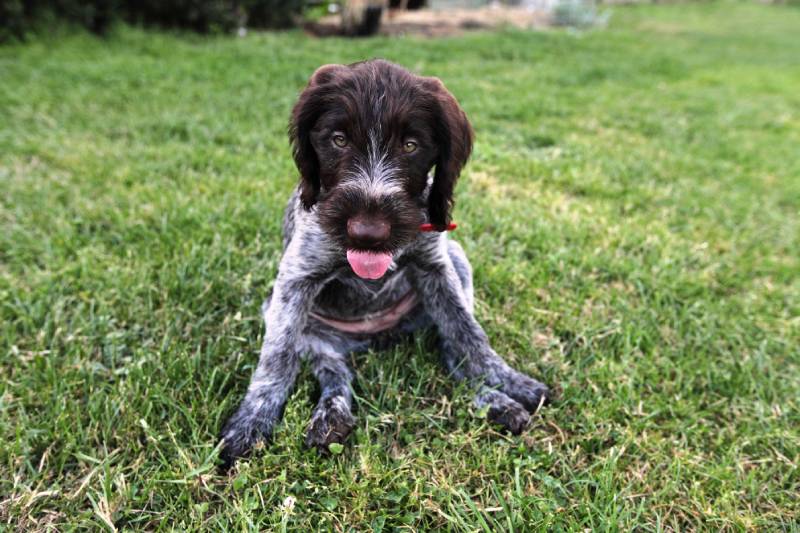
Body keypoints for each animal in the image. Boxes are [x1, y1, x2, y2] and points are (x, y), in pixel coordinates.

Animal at [220, 59, 552, 466]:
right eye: (339, 140)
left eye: (410, 146)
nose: (367, 233)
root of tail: (376, 338)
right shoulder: (296, 278)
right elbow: (277, 358)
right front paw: (253, 420)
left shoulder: (436, 267)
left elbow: (468, 335)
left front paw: (506, 379)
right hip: (299, 324)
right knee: (334, 372)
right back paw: (331, 417)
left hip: (456, 263)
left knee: (449, 349)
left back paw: (492, 400)